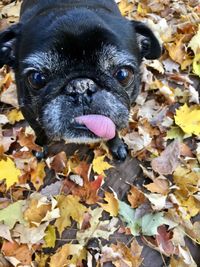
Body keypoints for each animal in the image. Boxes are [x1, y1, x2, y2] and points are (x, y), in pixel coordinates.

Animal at [0, 0, 161, 160]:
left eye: (123, 74)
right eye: (36, 78)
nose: (81, 86)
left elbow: (113, 129)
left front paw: (116, 145)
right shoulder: (28, 111)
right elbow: (39, 131)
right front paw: (39, 146)